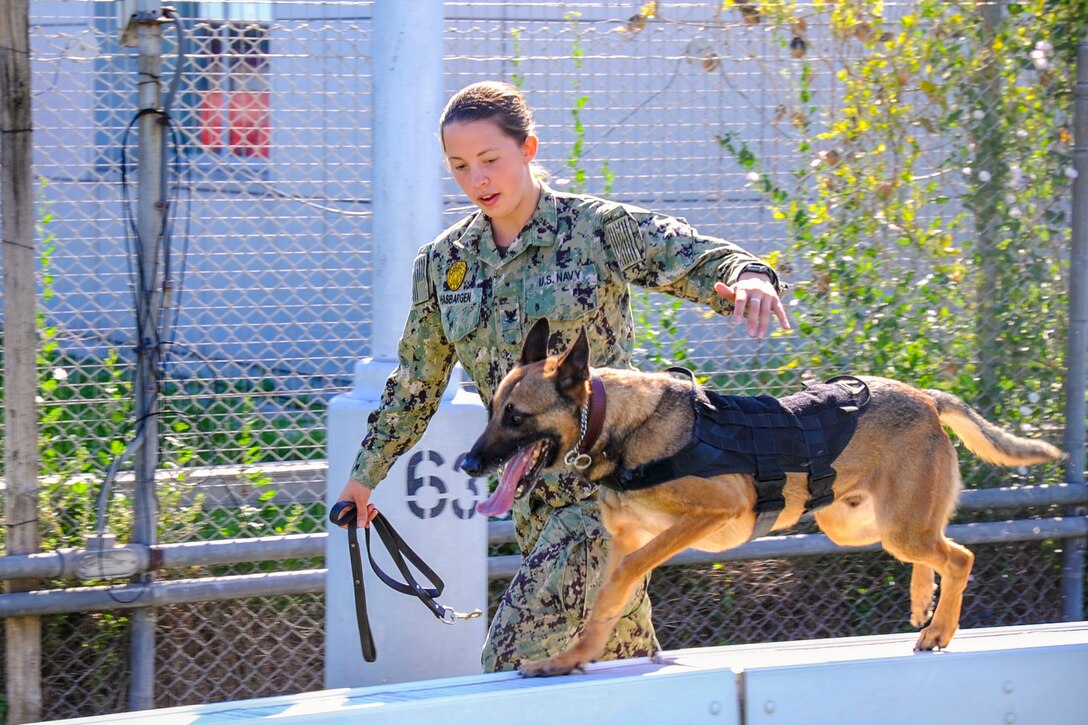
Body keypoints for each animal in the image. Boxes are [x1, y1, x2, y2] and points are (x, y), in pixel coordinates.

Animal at [463, 320, 1066, 674]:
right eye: (491, 410)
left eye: (516, 417)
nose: (468, 464)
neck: (614, 423)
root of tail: (923, 396)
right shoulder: (625, 538)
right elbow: (606, 603)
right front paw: (572, 659)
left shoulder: (708, 513)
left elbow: (628, 573)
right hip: (856, 525)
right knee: (937, 548)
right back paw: (924, 599)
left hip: (894, 526)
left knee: (959, 556)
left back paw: (940, 628)